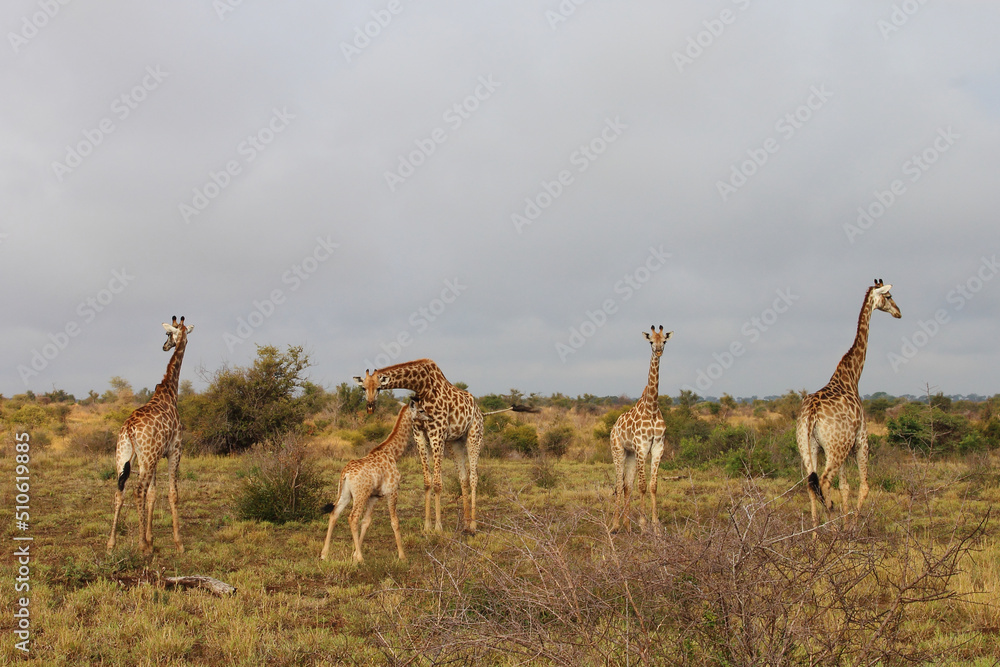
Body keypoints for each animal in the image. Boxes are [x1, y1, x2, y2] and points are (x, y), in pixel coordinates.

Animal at [107, 316, 194, 555]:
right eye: (168, 334)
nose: (164, 346)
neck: (170, 392)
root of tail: (128, 428)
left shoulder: (154, 457)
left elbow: (153, 494)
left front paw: (152, 538)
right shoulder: (174, 450)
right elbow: (172, 493)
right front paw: (178, 543)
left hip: (124, 455)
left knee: (120, 491)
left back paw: (111, 544)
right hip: (147, 456)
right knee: (138, 490)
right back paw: (141, 546)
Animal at [320, 399, 430, 563]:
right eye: (421, 410)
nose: (430, 417)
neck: (392, 453)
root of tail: (345, 474)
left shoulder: (374, 496)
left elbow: (366, 522)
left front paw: (354, 553)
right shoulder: (392, 491)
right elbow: (395, 522)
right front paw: (402, 556)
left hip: (346, 494)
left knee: (334, 514)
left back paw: (324, 554)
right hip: (360, 495)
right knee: (352, 518)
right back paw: (361, 559)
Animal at [355, 359, 497, 535]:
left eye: (379, 387)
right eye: (363, 388)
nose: (370, 407)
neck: (422, 387)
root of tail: (479, 410)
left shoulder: (437, 432)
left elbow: (437, 484)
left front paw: (438, 527)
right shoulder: (419, 434)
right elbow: (427, 482)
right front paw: (427, 526)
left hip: (474, 436)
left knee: (473, 477)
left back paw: (473, 525)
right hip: (455, 442)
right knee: (463, 478)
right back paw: (465, 523)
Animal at [610, 325, 672, 533]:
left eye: (664, 340)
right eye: (651, 341)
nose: (658, 350)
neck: (652, 408)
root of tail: (613, 428)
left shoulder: (658, 446)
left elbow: (653, 486)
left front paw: (656, 526)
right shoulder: (642, 447)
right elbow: (643, 486)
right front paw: (644, 525)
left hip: (630, 454)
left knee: (627, 485)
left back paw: (628, 526)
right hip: (618, 451)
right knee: (618, 484)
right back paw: (615, 526)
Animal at [796, 279, 901, 530]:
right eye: (889, 296)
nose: (898, 312)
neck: (852, 376)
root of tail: (812, 413)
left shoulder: (844, 446)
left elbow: (845, 487)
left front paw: (845, 524)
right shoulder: (861, 440)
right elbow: (864, 486)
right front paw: (852, 526)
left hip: (809, 446)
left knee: (811, 483)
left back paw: (815, 533)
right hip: (835, 448)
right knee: (824, 482)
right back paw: (832, 529)